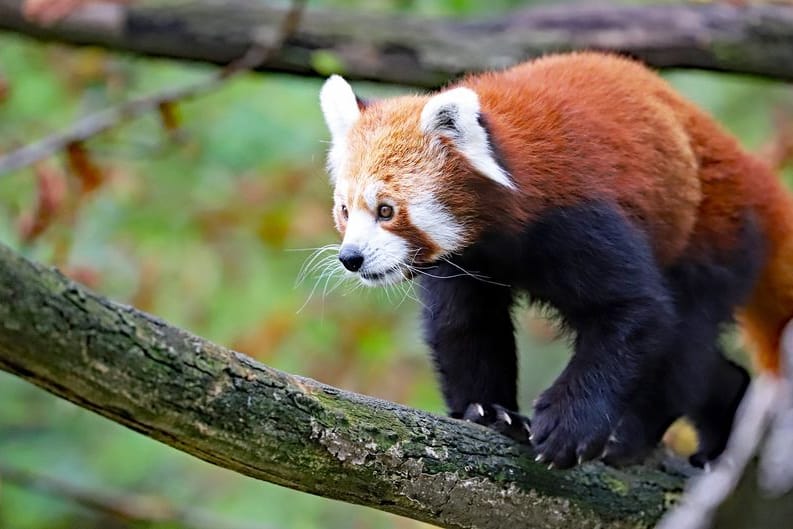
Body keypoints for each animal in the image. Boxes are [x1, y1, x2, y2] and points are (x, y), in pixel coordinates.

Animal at [316, 51, 792, 468]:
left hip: (713, 237)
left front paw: (570, 425)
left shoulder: (579, 215)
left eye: (386, 211)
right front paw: (488, 411)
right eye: (345, 210)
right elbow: (464, 325)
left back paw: (632, 435)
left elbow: (637, 310)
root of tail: (751, 171)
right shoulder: (465, 263)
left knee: (685, 342)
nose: (351, 258)